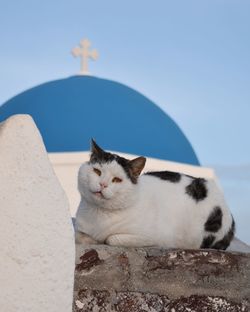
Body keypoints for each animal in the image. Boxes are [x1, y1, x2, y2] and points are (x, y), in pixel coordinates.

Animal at [75, 140, 235, 250]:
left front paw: (99, 239)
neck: (99, 215)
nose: (102, 184)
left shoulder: (157, 238)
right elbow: (80, 236)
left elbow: (111, 239)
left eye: (117, 180)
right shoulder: (79, 229)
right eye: (97, 171)